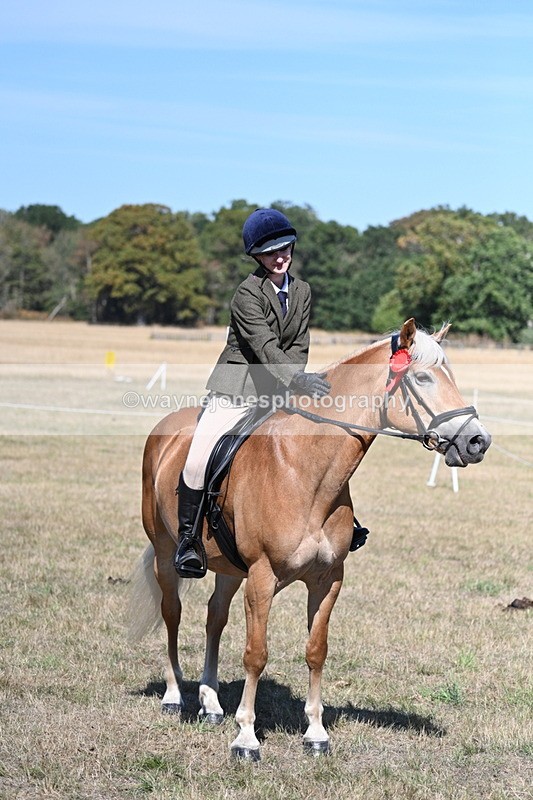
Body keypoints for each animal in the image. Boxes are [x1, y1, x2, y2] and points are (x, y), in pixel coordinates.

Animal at [130, 318, 491, 760]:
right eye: (422, 377)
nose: (478, 441)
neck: (305, 469)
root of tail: (164, 430)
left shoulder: (327, 580)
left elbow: (316, 651)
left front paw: (316, 733)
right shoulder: (262, 578)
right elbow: (256, 654)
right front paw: (246, 738)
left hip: (230, 569)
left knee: (215, 618)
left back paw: (210, 703)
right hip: (167, 554)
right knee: (173, 613)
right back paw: (173, 696)